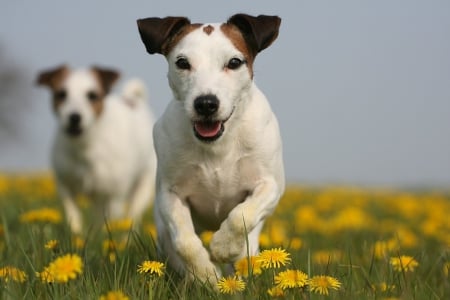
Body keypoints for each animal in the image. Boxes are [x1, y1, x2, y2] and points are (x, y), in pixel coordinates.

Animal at [36, 65, 156, 234]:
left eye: (92, 95)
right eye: (61, 94)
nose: (74, 117)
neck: (85, 147)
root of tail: (132, 99)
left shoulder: (113, 195)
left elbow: (112, 218)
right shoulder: (65, 186)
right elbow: (73, 213)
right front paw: (77, 234)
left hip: (143, 184)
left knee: (133, 213)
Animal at [136, 12, 284, 282]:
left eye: (234, 62)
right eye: (182, 63)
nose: (206, 103)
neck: (218, 145)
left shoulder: (270, 185)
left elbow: (242, 215)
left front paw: (223, 246)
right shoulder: (169, 194)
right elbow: (184, 242)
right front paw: (205, 274)